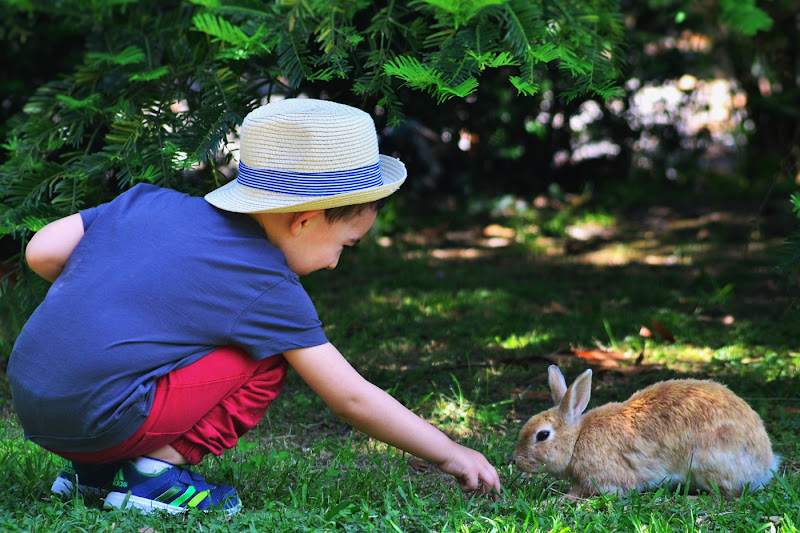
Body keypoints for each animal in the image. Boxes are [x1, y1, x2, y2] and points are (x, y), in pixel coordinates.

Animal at [512, 364, 780, 496]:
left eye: (542, 435)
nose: (515, 461)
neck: (576, 439)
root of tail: (764, 465)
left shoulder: (605, 478)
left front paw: (558, 499)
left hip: (707, 459)